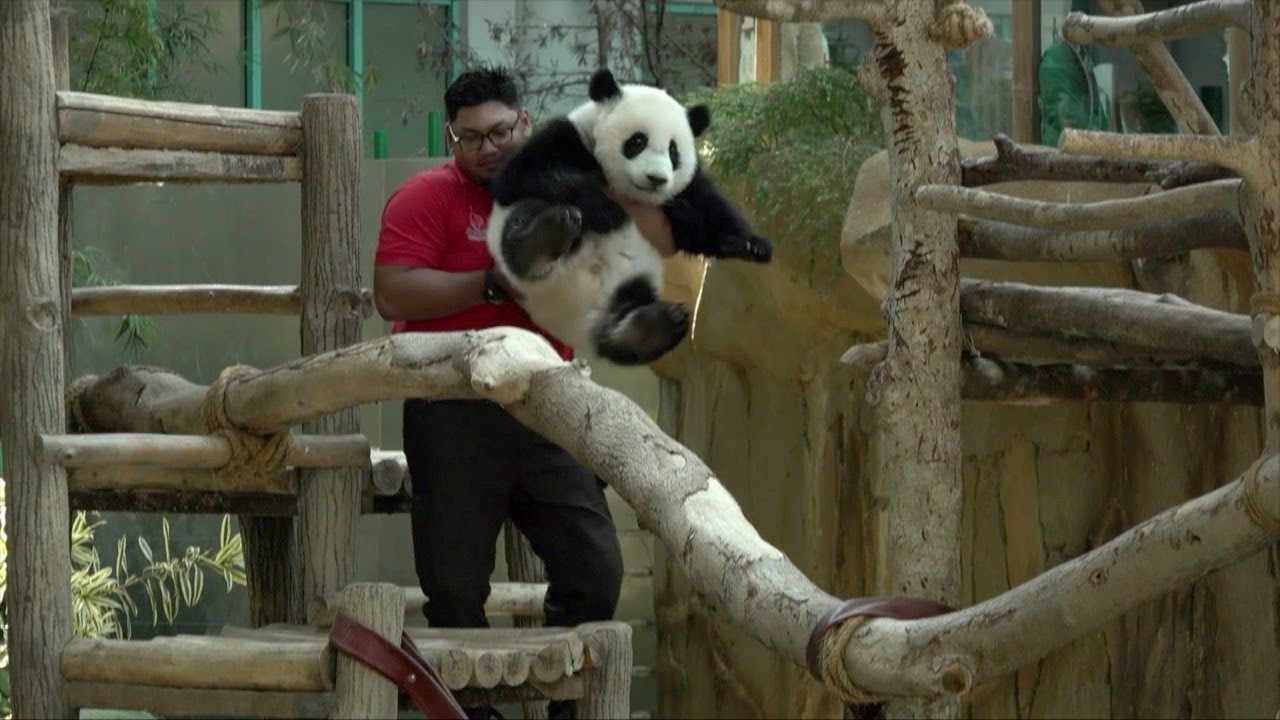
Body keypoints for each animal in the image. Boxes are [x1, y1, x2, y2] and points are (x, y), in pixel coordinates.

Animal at [485, 67, 772, 366]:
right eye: (637, 141)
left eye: (673, 151)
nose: (656, 179)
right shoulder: (569, 136)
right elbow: (518, 175)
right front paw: (606, 209)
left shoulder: (685, 188)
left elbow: (708, 211)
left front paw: (750, 245)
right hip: (516, 234)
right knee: (524, 220)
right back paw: (545, 235)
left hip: (632, 284)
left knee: (622, 332)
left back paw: (654, 328)